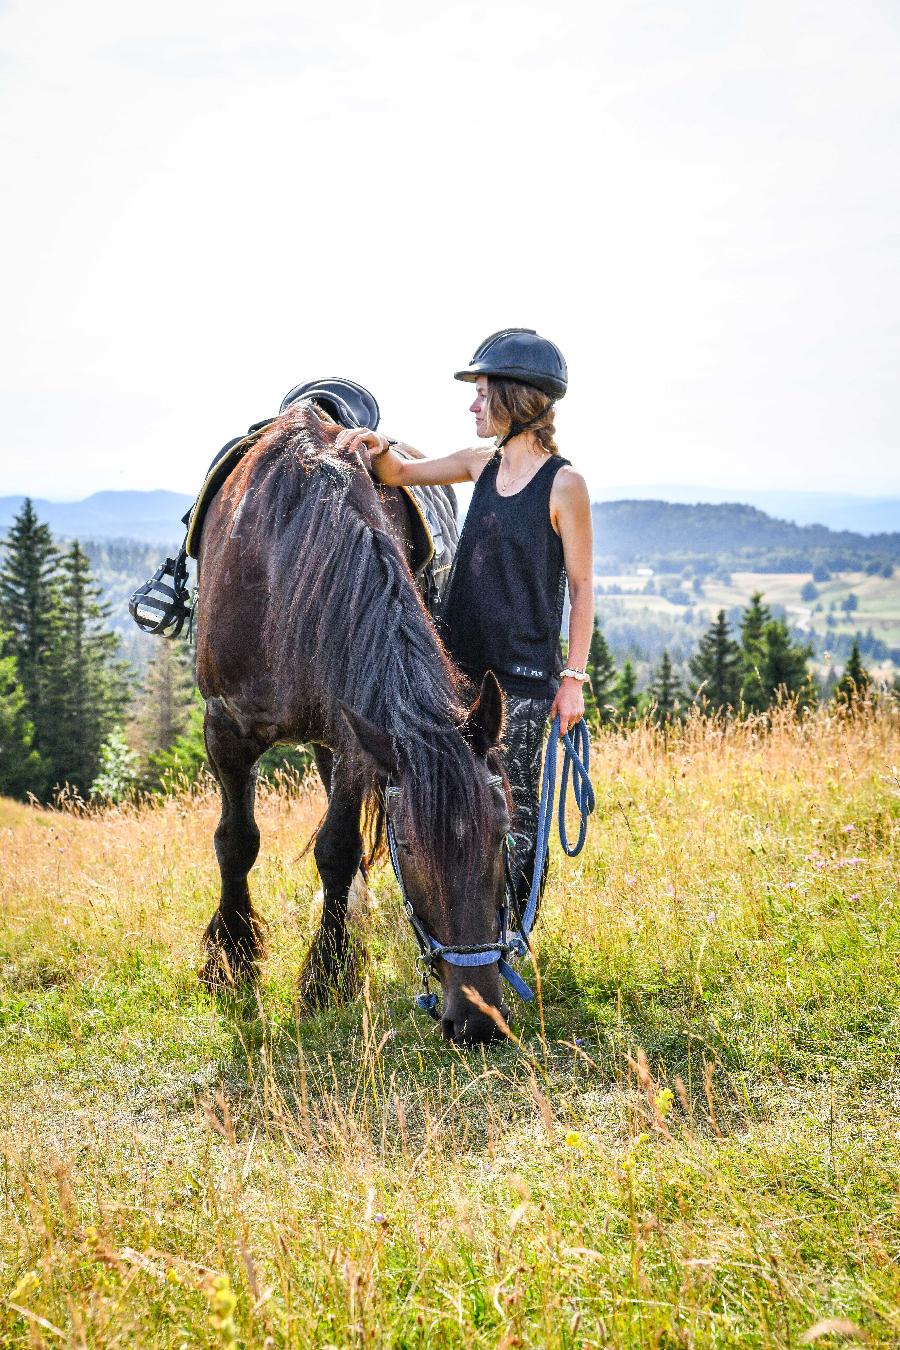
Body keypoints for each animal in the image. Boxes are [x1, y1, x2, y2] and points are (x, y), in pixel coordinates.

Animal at [192, 399, 510, 1042]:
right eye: (408, 847)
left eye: (502, 834)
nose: (477, 1021)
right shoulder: (225, 730)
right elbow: (236, 841)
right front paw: (232, 959)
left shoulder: (352, 740)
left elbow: (337, 849)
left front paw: (329, 972)